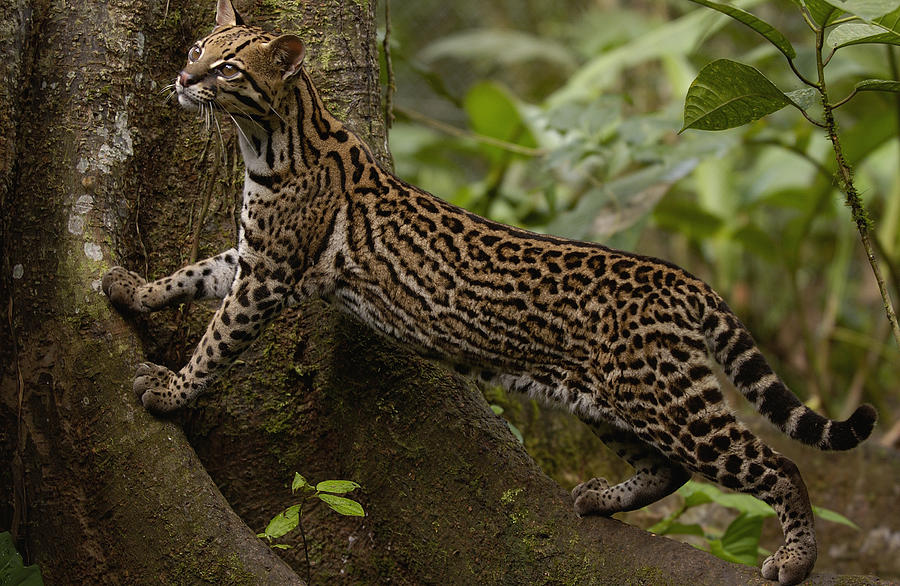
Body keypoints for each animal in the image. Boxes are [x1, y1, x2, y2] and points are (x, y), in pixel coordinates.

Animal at [102, 2, 876, 580]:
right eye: (198, 45)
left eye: (227, 66)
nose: (182, 75)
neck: (267, 141)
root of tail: (681, 277)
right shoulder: (252, 256)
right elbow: (194, 273)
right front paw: (131, 289)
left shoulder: (268, 274)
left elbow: (215, 342)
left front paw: (169, 391)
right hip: (604, 399)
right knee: (666, 473)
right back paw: (600, 498)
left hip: (670, 400)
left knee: (773, 463)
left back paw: (796, 558)